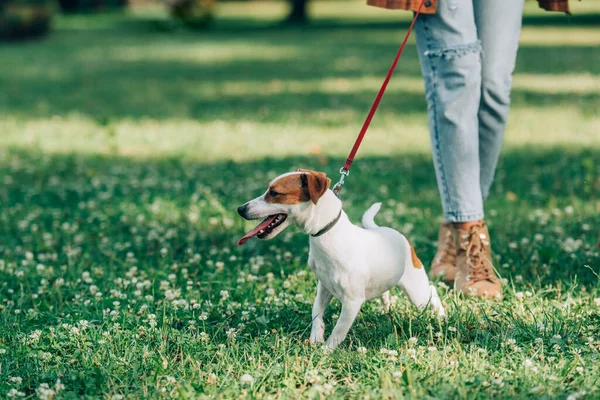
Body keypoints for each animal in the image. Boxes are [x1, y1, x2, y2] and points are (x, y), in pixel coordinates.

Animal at [239, 169, 446, 350]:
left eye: (274, 193)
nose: (240, 208)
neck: (327, 234)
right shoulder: (324, 287)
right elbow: (316, 311)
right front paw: (316, 337)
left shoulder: (352, 302)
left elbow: (339, 330)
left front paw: (326, 350)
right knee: (386, 293)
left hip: (416, 291)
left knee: (432, 291)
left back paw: (441, 315)